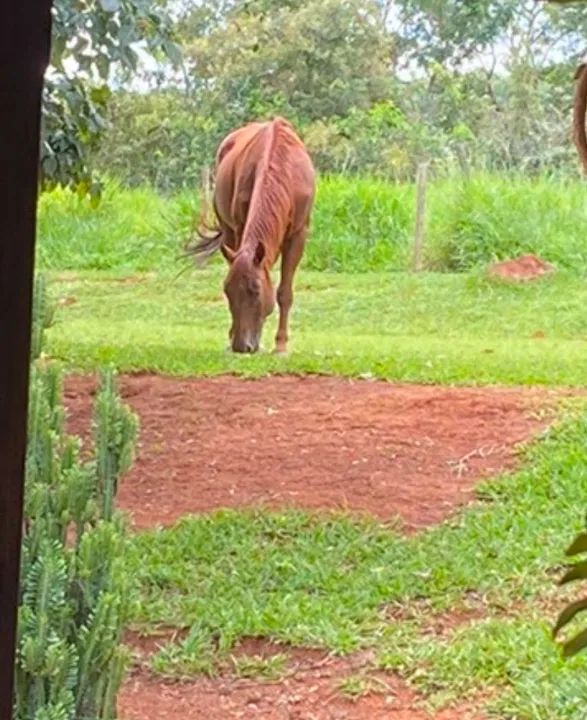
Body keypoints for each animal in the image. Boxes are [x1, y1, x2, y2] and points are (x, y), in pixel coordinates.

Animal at [190, 117, 315, 354]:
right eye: (227, 290)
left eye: (255, 290)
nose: (242, 346)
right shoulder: (240, 226)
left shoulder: (298, 234)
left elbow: (284, 292)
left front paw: (281, 346)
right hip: (228, 230)